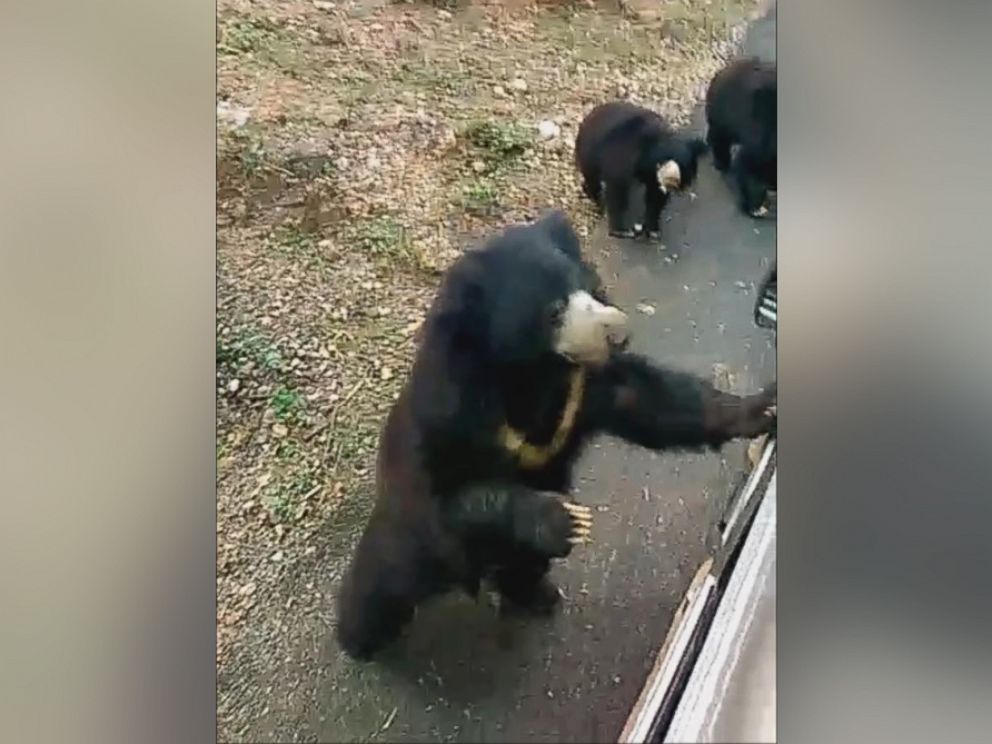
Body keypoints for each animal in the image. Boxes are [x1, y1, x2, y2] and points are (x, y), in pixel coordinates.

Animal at [338, 212, 780, 660]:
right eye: (553, 309)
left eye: (587, 283)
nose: (618, 332)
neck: (533, 372)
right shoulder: (453, 412)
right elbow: (450, 493)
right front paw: (564, 519)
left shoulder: (582, 390)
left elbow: (648, 399)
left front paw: (763, 408)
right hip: (410, 540)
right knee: (383, 581)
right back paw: (357, 638)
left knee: (522, 567)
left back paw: (537, 595)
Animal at [572, 101, 704, 240]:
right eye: (678, 185)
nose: (684, 191)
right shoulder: (624, 156)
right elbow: (617, 189)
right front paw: (620, 229)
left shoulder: (653, 175)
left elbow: (655, 197)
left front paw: (652, 229)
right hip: (589, 154)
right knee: (593, 180)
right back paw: (596, 199)